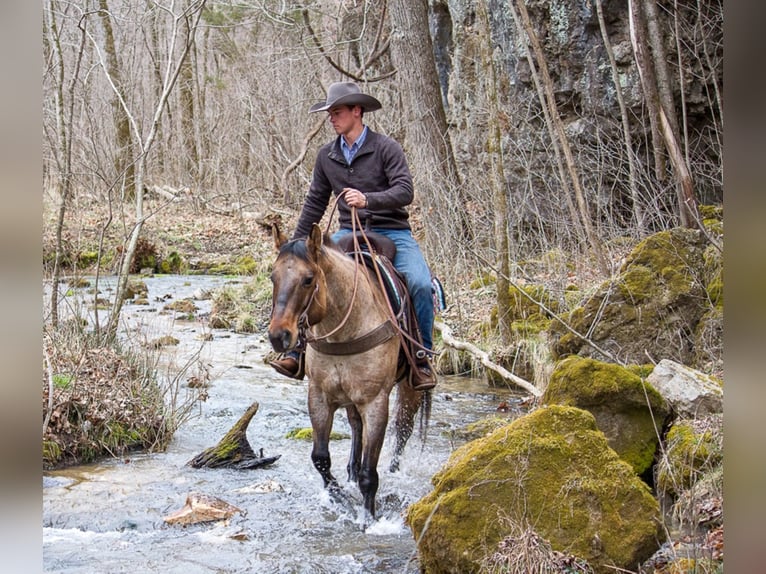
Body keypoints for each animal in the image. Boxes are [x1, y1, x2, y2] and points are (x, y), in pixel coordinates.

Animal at [268, 223, 428, 520]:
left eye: (308, 279)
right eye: (273, 277)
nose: (278, 336)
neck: (345, 328)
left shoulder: (375, 402)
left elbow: (370, 473)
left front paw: (368, 518)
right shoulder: (319, 396)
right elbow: (320, 458)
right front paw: (338, 497)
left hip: (411, 388)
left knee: (403, 429)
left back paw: (393, 472)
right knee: (356, 426)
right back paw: (351, 473)